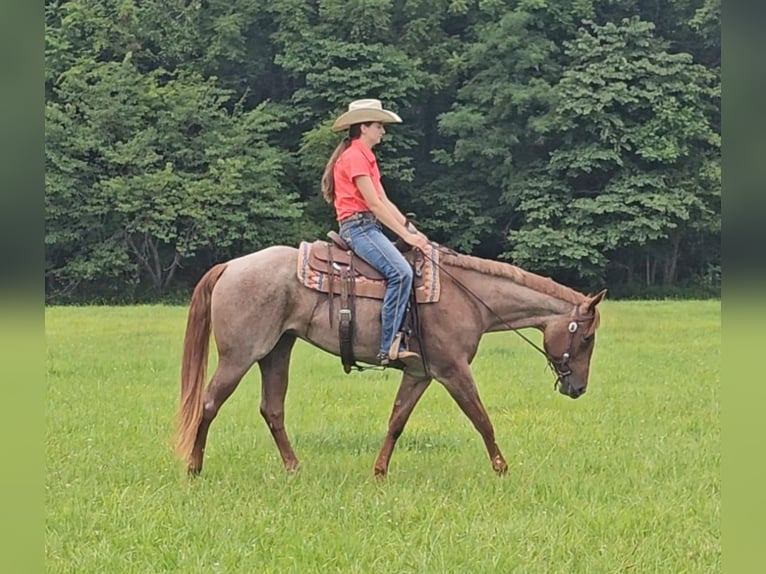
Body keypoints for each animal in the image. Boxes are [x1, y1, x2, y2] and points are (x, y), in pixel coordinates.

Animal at [176, 245, 608, 480]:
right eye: (586, 338)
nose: (578, 387)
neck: (469, 298)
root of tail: (231, 266)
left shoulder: (420, 374)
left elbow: (397, 421)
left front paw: (379, 472)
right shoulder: (453, 371)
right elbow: (481, 418)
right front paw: (502, 469)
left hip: (277, 351)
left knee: (272, 410)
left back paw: (294, 467)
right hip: (240, 355)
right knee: (209, 403)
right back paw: (194, 468)